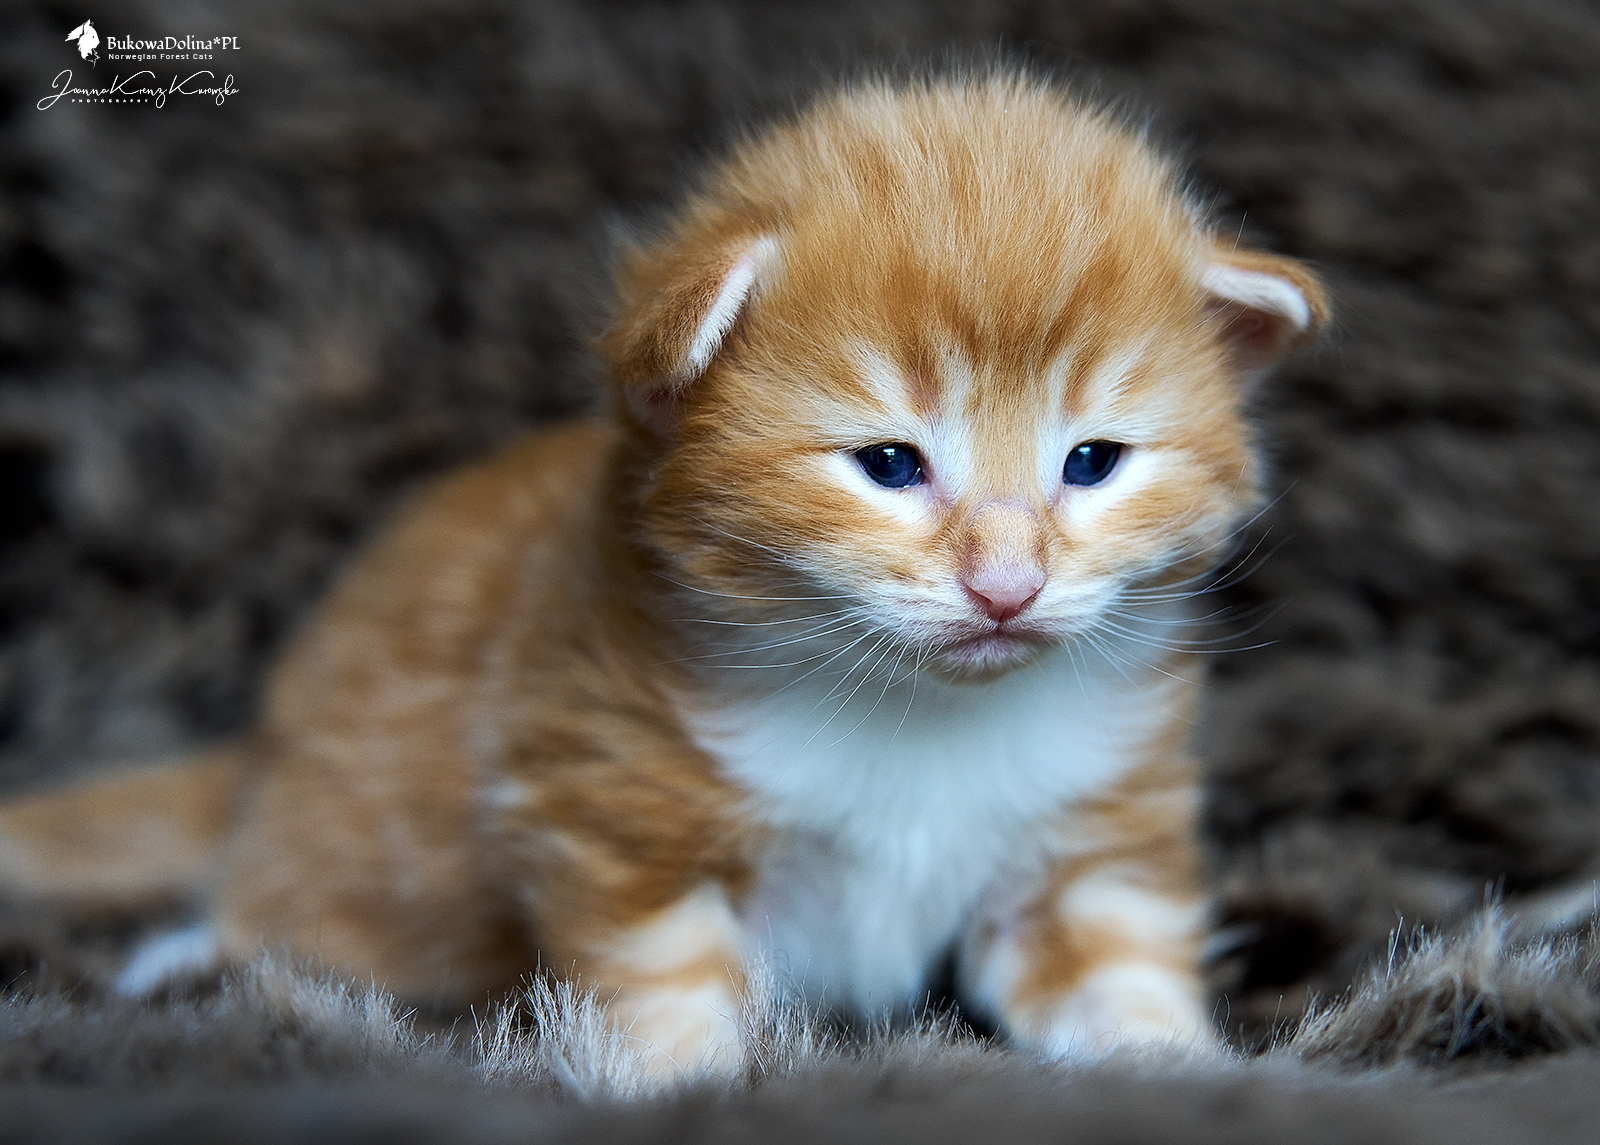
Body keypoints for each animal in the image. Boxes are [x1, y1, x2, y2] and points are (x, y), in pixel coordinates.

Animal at [0, 72, 1325, 1077]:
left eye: (1092, 462)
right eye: (889, 463)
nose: (1006, 586)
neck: (911, 711)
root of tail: (267, 748)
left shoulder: (1089, 832)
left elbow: (1116, 963)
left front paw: (1176, 1064)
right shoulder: (614, 798)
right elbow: (664, 973)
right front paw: (684, 1079)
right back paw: (197, 956)